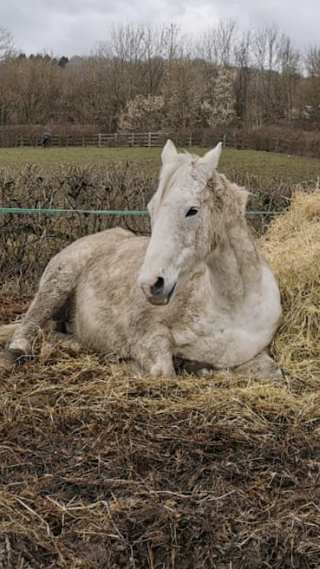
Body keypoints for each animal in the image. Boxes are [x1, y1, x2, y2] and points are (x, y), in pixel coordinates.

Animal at [0, 141, 282, 378]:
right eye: (150, 208)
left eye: (192, 210)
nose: (150, 284)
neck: (233, 306)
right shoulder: (147, 334)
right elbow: (163, 371)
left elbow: (272, 373)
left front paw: (201, 369)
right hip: (57, 284)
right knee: (25, 333)